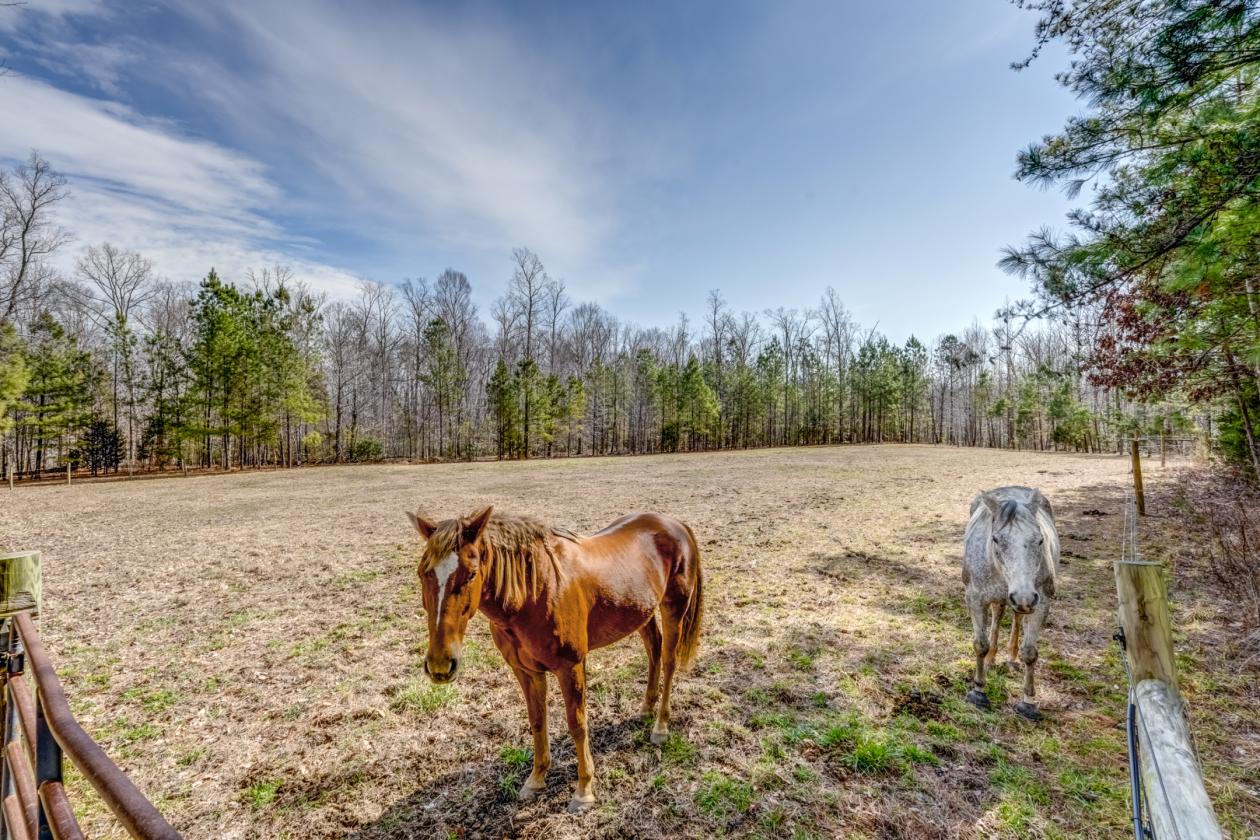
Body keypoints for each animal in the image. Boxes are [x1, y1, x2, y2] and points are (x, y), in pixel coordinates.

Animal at [405, 506, 704, 811]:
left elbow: (578, 725)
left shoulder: (570, 667)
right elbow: (538, 721)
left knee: (668, 661)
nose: (441, 664)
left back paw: (661, 727)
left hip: (674, 608)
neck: (533, 592)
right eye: (421, 573)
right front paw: (536, 779)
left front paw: (584, 790)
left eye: (471, 574)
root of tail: (675, 524)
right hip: (641, 611)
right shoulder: (526, 671)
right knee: (654, 651)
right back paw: (646, 708)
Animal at [962, 486, 1060, 720]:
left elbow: (1030, 653)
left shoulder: (1040, 603)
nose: (1024, 596)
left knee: (1016, 617)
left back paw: (1012, 656)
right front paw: (978, 691)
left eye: (1040, 540)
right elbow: (980, 645)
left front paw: (1028, 703)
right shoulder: (975, 599)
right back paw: (992, 658)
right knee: (999, 614)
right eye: (996, 539)